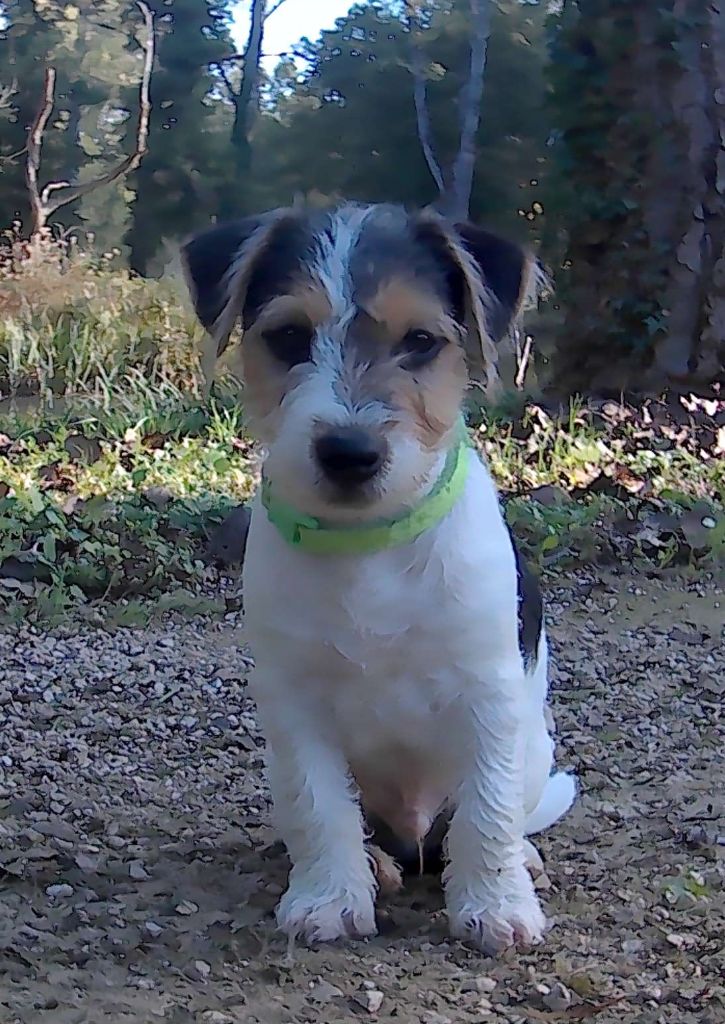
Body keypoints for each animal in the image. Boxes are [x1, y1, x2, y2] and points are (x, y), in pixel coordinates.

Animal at [182, 201, 577, 950]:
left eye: (420, 340)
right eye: (288, 336)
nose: (349, 452)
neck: (369, 543)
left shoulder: (488, 694)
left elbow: (486, 813)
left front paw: (495, 906)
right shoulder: (294, 702)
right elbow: (319, 805)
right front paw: (330, 898)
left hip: (534, 750)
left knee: (491, 818)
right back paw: (373, 863)